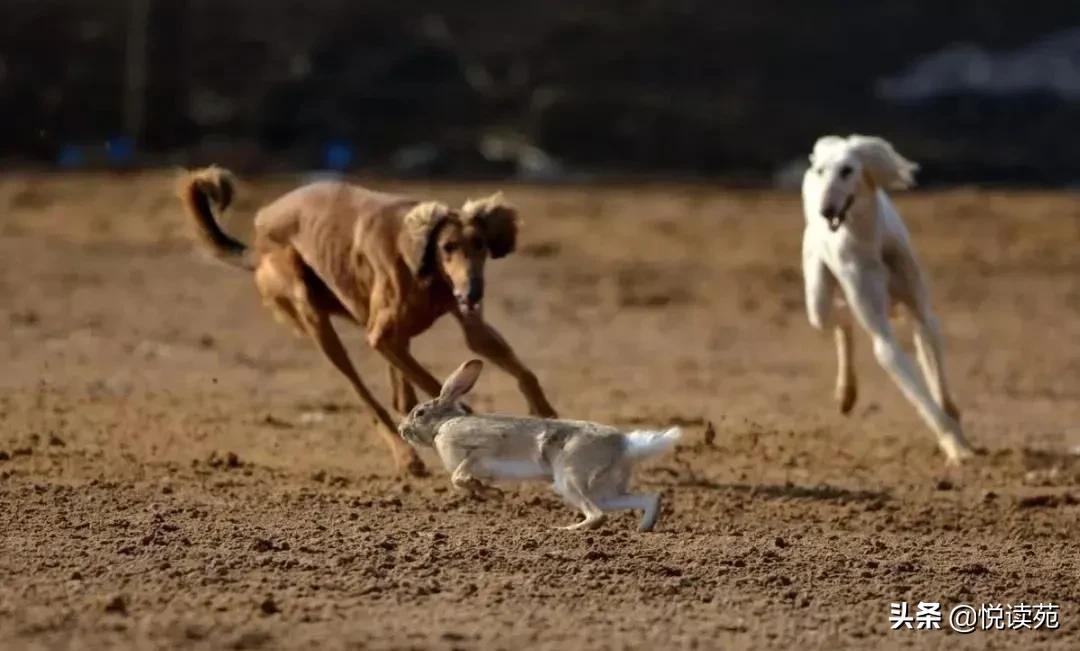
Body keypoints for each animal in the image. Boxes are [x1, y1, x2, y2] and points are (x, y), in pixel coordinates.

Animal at [178, 168, 557, 472]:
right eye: (448, 247)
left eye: (479, 244)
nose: (473, 292)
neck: (423, 264)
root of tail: (257, 238)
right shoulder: (381, 336)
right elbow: (435, 386)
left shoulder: (469, 327)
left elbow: (524, 373)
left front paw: (548, 416)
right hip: (315, 318)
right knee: (369, 397)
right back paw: (406, 456)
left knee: (399, 395)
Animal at [803, 133, 972, 464]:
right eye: (820, 171)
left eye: (847, 170)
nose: (826, 210)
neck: (869, 241)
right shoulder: (883, 335)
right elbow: (912, 385)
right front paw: (955, 445)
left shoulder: (921, 312)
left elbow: (936, 377)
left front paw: (954, 418)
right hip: (818, 301)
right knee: (840, 318)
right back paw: (845, 392)